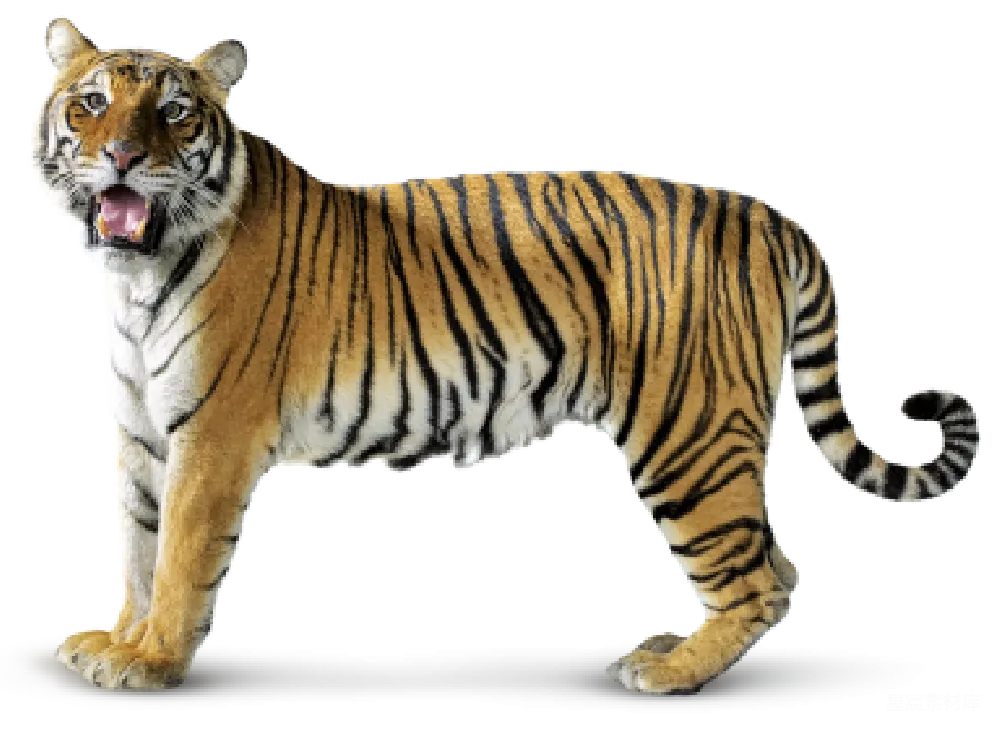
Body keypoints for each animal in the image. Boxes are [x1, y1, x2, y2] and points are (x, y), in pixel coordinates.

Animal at [31, 17, 983, 694]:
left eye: (173, 112)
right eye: (90, 104)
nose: (121, 155)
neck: (139, 278)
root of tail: (767, 213)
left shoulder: (215, 435)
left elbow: (180, 554)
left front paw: (151, 662)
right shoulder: (144, 433)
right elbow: (138, 546)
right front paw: (118, 638)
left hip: (689, 432)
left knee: (755, 572)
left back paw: (667, 669)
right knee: (776, 562)